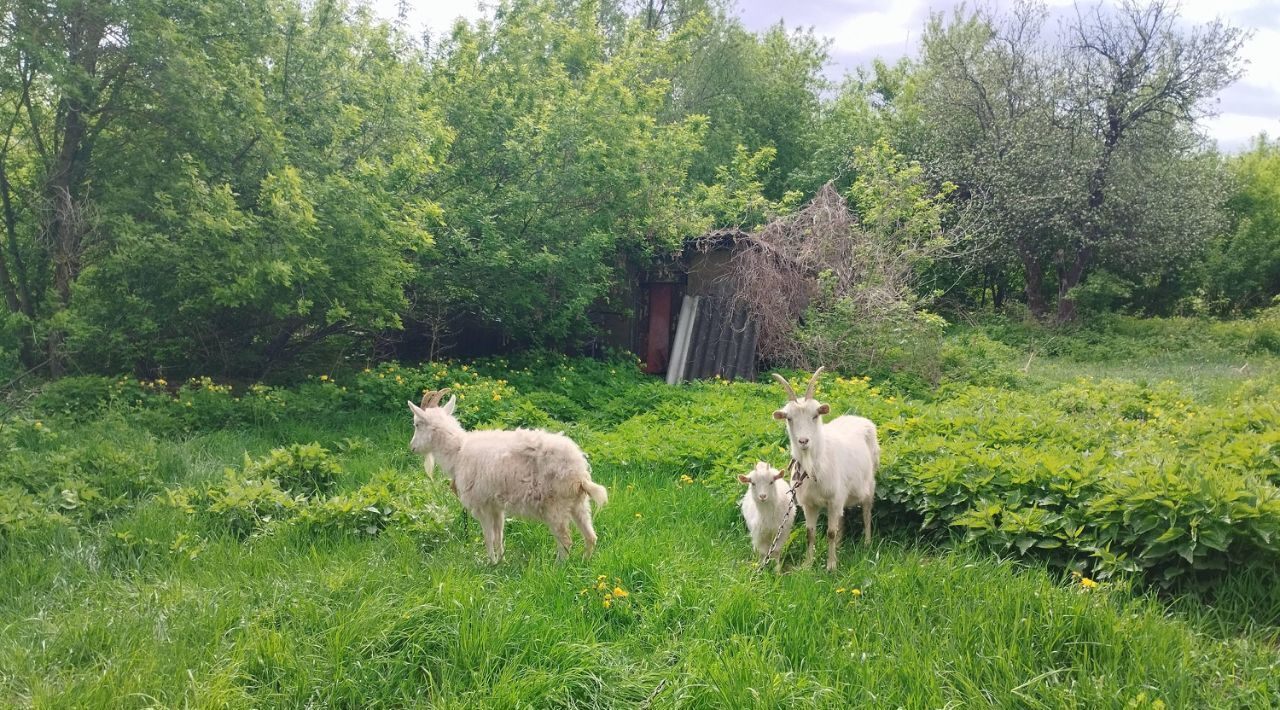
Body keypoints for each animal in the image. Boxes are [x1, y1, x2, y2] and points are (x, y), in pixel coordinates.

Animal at [409, 388, 609, 568]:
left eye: (417, 424)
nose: (412, 448)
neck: (458, 451)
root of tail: (579, 472)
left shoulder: (481, 504)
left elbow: (488, 537)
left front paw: (490, 564)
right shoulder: (496, 506)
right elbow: (499, 536)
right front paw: (501, 562)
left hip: (556, 504)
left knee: (566, 540)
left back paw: (558, 568)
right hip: (578, 503)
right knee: (590, 536)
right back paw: (584, 563)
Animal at [768, 365, 880, 573]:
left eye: (815, 415)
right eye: (789, 418)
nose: (803, 441)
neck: (815, 466)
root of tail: (857, 417)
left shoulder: (834, 499)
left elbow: (830, 532)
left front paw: (831, 566)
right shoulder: (809, 504)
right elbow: (810, 533)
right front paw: (808, 564)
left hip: (870, 483)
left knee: (867, 512)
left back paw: (867, 543)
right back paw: (841, 544)